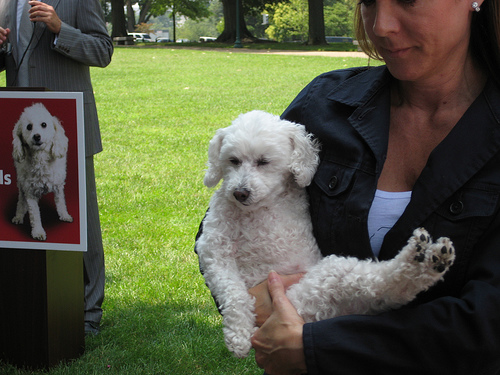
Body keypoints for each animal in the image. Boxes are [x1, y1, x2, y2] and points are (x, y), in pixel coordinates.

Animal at [11, 104, 72, 242]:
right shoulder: (29, 192)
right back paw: (19, 216)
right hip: (21, 184)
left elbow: (61, 202)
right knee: (21, 201)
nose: (37, 136)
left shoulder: (58, 186)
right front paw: (38, 232)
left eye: (44, 124)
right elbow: (34, 214)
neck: (40, 158)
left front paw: (64, 215)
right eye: (29, 127)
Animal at [197, 111, 456, 358]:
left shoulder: (213, 250)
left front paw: (238, 337)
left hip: (324, 278)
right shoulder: (213, 251)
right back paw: (428, 258)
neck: (259, 210)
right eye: (233, 161)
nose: (239, 193)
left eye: (263, 162)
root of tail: (318, 315)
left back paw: (422, 256)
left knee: (383, 282)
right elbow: (234, 294)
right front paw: (239, 336)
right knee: (390, 292)